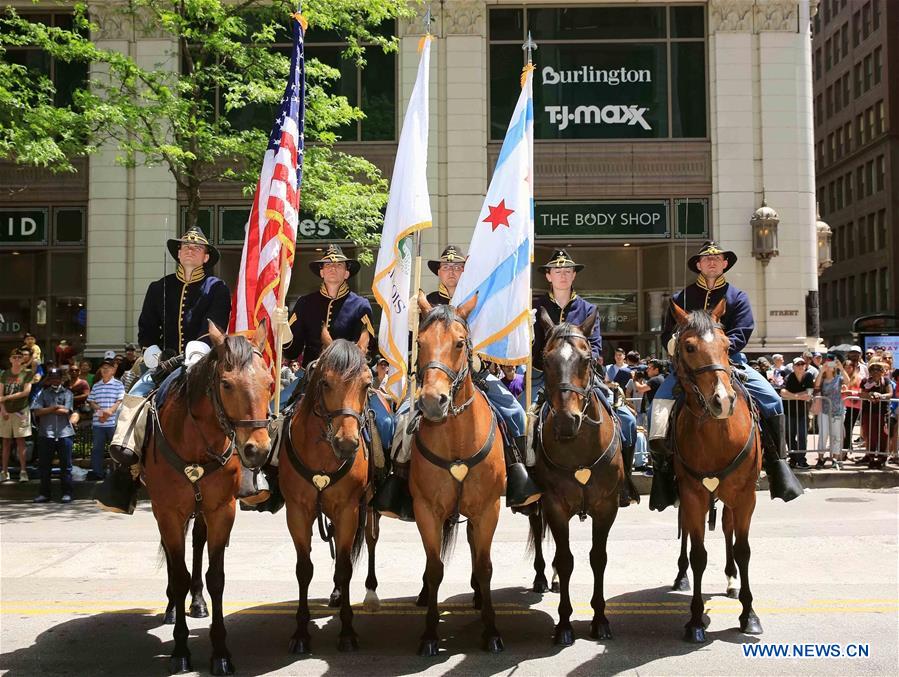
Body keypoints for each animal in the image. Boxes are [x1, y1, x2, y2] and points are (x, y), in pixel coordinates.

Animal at [142, 320, 270, 672]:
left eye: (270, 382)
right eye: (226, 384)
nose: (258, 449)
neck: (197, 443)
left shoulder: (221, 509)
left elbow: (216, 577)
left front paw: (221, 652)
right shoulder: (167, 511)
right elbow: (179, 573)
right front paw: (180, 649)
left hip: (200, 510)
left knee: (197, 543)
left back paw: (197, 602)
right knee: (173, 558)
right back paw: (172, 606)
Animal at [282, 330, 372, 652]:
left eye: (367, 384)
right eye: (325, 382)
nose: (346, 444)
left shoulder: (349, 509)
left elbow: (345, 566)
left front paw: (347, 631)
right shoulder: (297, 511)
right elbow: (303, 568)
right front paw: (300, 632)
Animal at [414, 294, 506, 656]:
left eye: (459, 342)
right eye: (420, 343)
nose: (431, 402)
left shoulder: (487, 509)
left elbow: (485, 566)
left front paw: (492, 630)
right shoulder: (427, 510)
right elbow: (434, 568)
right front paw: (428, 634)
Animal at [536, 308, 624, 644]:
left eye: (587, 359)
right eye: (546, 359)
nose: (565, 421)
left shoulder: (607, 507)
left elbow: (598, 558)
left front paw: (600, 619)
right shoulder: (555, 506)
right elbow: (565, 559)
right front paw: (564, 623)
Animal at [672, 300, 764, 640]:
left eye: (726, 346)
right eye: (688, 346)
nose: (722, 401)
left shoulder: (746, 496)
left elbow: (743, 549)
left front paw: (749, 615)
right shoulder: (692, 493)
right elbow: (698, 554)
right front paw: (695, 620)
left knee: (727, 528)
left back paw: (731, 580)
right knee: (687, 530)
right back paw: (681, 575)